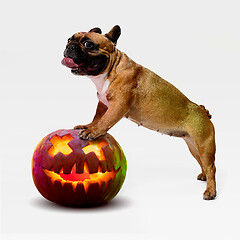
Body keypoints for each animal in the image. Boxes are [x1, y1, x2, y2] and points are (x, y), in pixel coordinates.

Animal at [61, 25, 216, 200]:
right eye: (69, 39)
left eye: (88, 44)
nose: (69, 46)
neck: (112, 68)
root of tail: (203, 111)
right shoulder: (103, 104)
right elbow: (98, 117)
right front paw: (88, 126)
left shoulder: (118, 105)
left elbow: (105, 120)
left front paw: (93, 131)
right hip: (193, 146)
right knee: (202, 162)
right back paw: (204, 177)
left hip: (204, 145)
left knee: (210, 166)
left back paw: (210, 191)